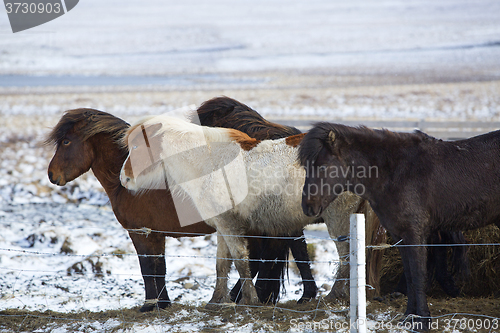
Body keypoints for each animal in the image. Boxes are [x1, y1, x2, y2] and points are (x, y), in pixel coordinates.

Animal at [119, 116, 380, 306]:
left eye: (136, 146)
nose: (124, 179)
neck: (207, 161)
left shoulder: (230, 225)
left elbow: (241, 261)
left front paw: (249, 300)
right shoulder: (223, 223)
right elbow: (222, 263)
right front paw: (216, 301)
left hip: (337, 218)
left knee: (346, 255)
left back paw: (334, 296)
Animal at [298, 122, 500, 330]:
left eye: (322, 166)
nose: (307, 207)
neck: (396, 173)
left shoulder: (415, 234)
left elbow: (418, 275)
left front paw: (423, 321)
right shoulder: (400, 236)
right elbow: (410, 276)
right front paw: (408, 317)